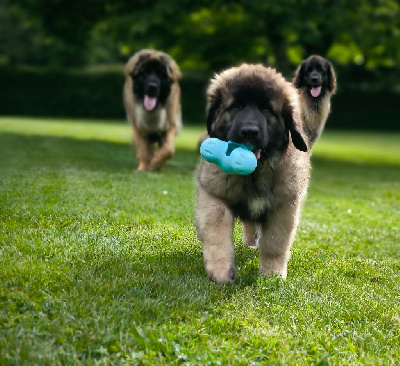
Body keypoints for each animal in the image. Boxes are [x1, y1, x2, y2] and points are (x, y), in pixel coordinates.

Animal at [195, 64, 310, 284]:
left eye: (266, 109)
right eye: (237, 107)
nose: (249, 131)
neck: (255, 174)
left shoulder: (284, 207)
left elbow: (274, 243)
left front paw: (272, 275)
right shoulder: (212, 192)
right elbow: (217, 229)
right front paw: (220, 269)